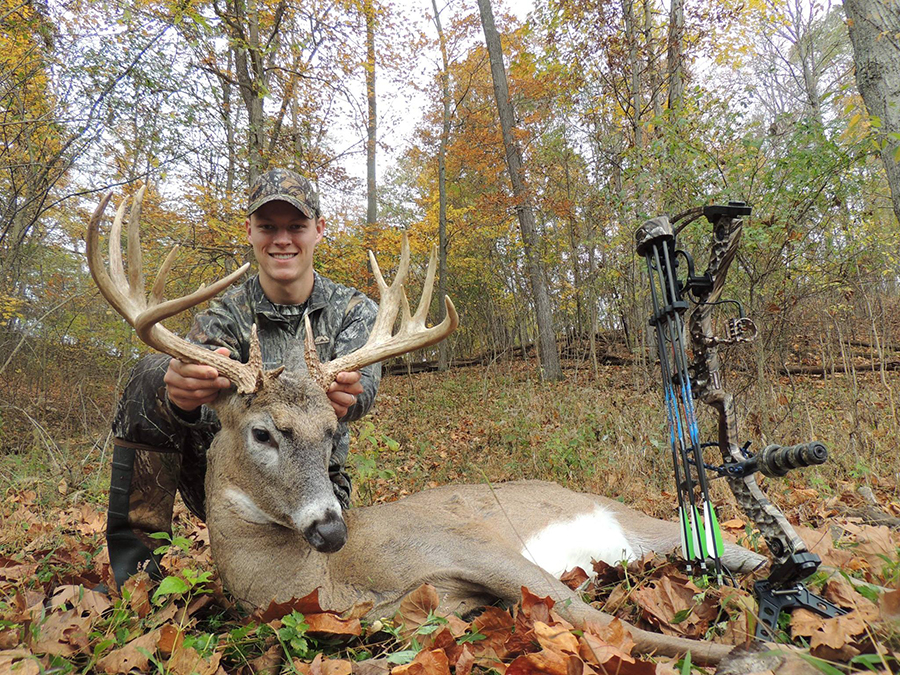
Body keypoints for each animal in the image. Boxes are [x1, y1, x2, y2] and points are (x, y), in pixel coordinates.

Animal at [87, 188, 768, 666]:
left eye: (330, 429)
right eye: (262, 432)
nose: (330, 528)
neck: (330, 584)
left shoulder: (469, 545)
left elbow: (601, 623)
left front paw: (760, 654)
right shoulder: (432, 609)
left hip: (645, 525)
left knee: (743, 552)